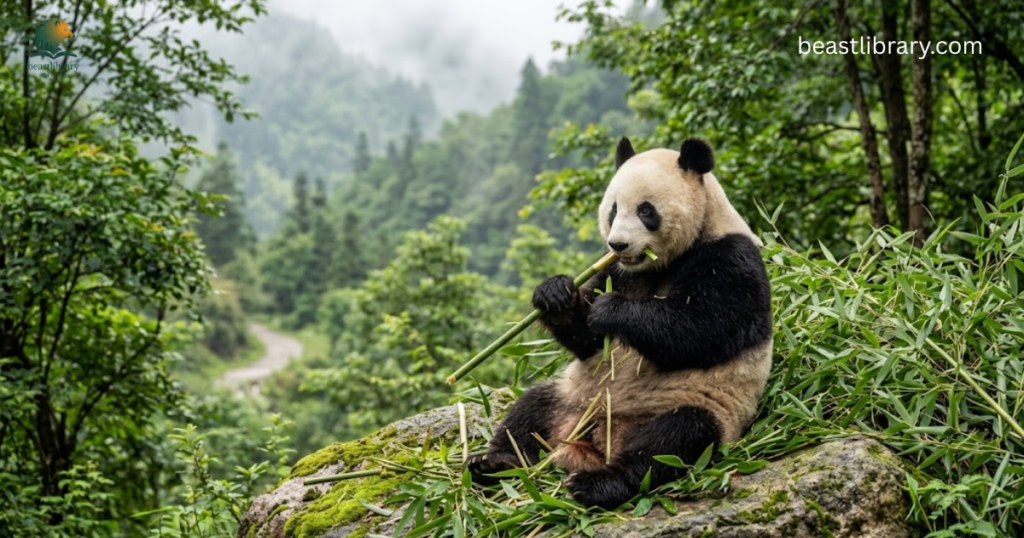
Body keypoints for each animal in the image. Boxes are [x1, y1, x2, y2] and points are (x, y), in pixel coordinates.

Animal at [468, 137, 773, 509]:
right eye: (613, 209)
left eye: (646, 211)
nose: (618, 243)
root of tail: (596, 440)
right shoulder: (616, 269)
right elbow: (587, 342)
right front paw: (555, 293)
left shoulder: (730, 258)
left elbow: (700, 330)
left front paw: (611, 310)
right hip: (572, 395)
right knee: (529, 412)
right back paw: (493, 463)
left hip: (701, 407)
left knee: (672, 441)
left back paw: (597, 483)